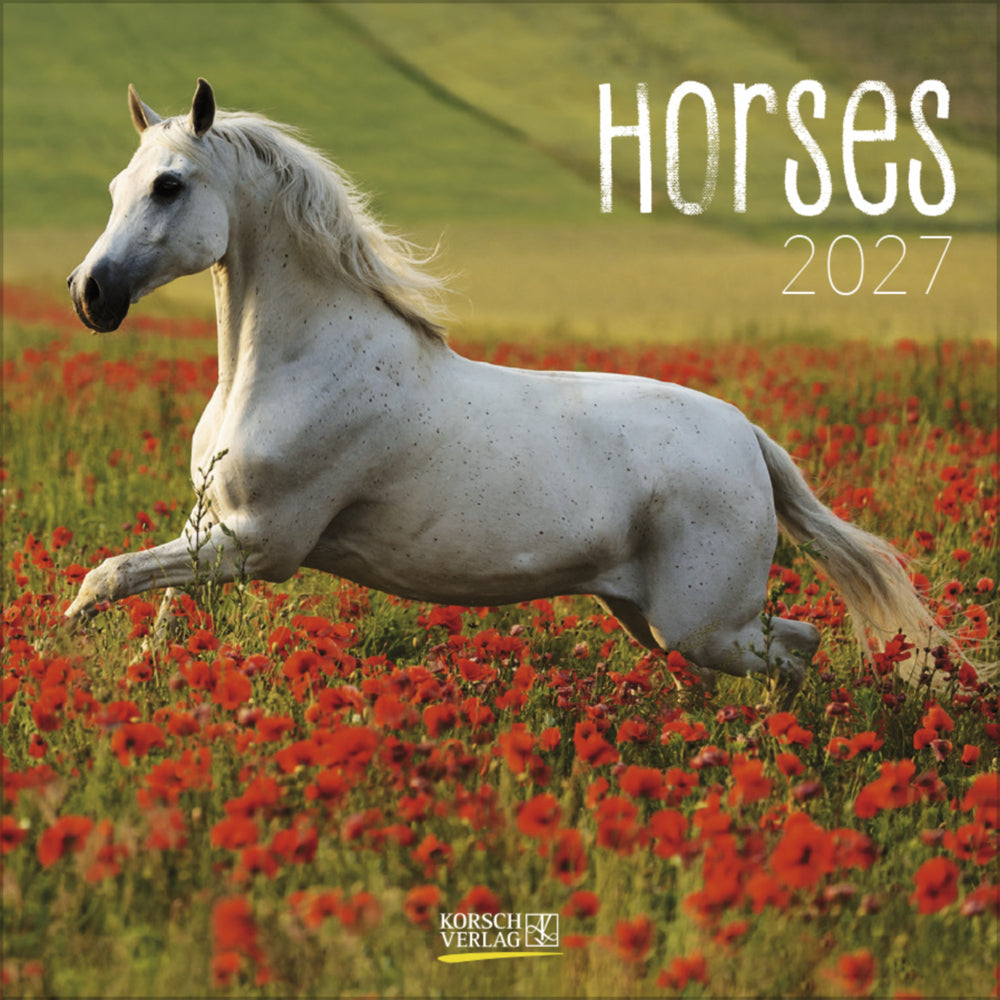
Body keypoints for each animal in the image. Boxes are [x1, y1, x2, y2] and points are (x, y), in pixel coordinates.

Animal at [65, 79, 966, 696]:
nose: (89, 293)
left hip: (703, 620)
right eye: (115, 187)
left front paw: (65, 638)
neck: (295, 366)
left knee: (802, 650)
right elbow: (157, 610)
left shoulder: (261, 543)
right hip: (654, 619)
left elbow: (107, 575)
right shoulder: (207, 530)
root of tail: (750, 437)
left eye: (170, 185)